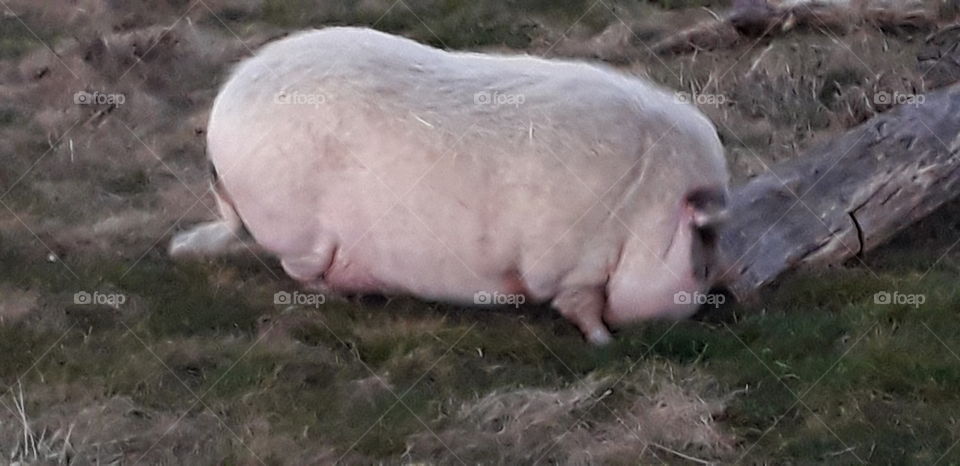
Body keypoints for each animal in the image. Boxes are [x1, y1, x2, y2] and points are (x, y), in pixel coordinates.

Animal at [169, 27, 729, 345]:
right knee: (301, 271)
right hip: (297, 232)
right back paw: (350, 294)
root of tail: (221, 111)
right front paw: (604, 343)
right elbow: (581, 307)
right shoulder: (569, 264)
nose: (713, 305)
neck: (643, 215)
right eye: (703, 247)